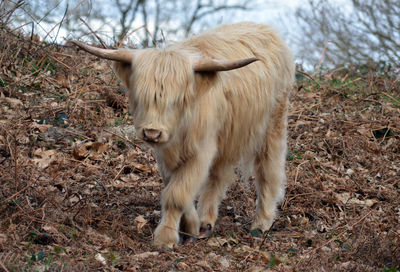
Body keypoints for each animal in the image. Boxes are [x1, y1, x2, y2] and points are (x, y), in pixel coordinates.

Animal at [73, 22, 296, 248]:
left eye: (177, 100)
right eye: (141, 96)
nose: (152, 132)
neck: (181, 129)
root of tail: (265, 28)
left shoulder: (202, 150)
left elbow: (177, 194)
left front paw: (166, 238)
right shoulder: (166, 153)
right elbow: (176, 186)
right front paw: (191, 226)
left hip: (273, 125)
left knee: (268, 171)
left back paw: (261, 223)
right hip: (228, 137)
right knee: (218, 176)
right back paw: (206, 222)